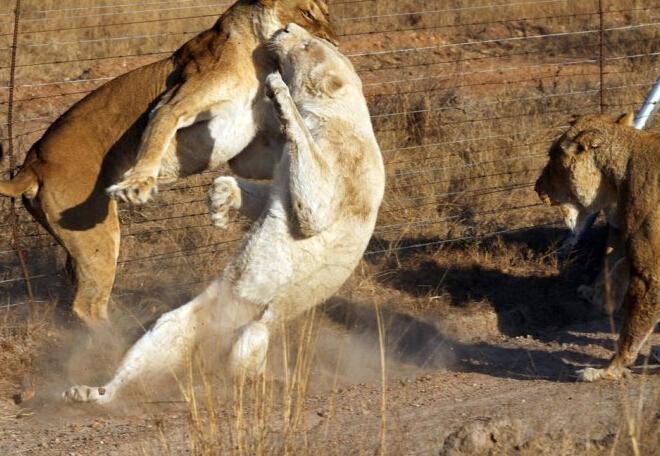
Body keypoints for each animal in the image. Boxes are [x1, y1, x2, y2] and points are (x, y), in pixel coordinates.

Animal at [63, 24, 384, 402]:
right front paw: (219, 201)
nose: (287, 28)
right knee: (153, 348)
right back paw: (89, 393)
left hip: (258, 329)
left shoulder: (343, 175)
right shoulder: (284, 171)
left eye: (307, 45)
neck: (337, 113)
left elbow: (313, 204)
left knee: (244, 359)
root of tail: (215, 340)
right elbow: (260, 187)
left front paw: (278, 91)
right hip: (182, 322)